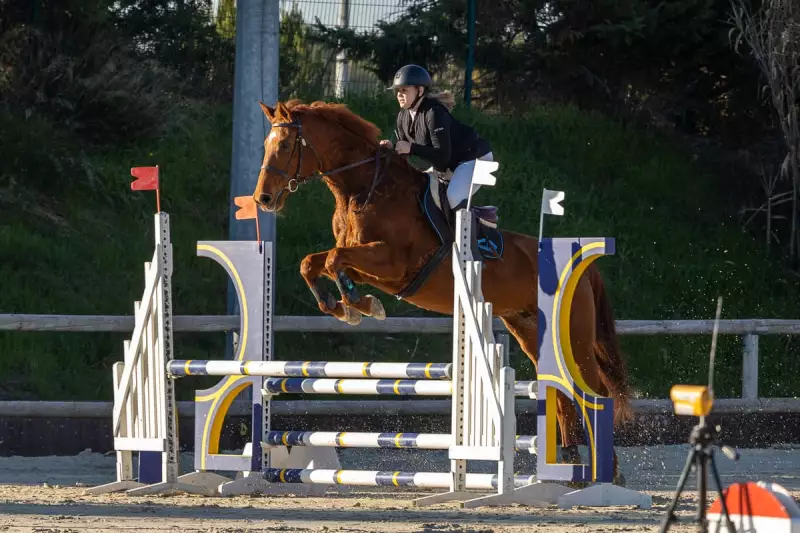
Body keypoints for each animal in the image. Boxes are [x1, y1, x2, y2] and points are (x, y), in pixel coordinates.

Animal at [253, 97, 636, 484]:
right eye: (265, 145)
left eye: (284, 145)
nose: (263, 199)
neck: (365, 190)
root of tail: (581, 264)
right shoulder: (370, 265)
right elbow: (314, 262)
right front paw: (343, 306)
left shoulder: (392, 264)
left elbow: (334, 260)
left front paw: (359, 305)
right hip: (529, 330)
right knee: (561, 391)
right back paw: (571, 469)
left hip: (574, 335)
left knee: (592, 391)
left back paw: (609, 473)